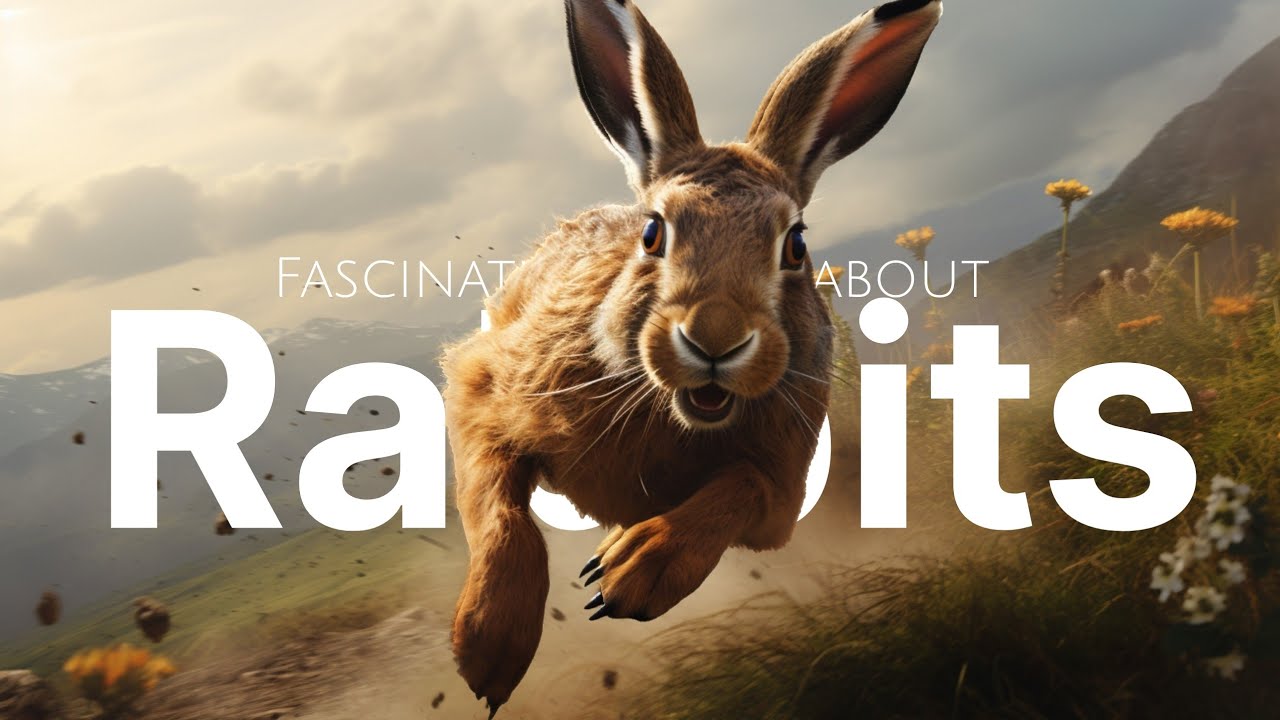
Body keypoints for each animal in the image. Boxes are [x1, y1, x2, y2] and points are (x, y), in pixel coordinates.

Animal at [442, 0, 942, 713]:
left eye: (794, 244)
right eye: (653, 233)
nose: (716, 338)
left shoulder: (783, 481)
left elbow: (740, 487)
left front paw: (633, 570)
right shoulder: (481, 394)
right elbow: (500, 510)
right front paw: (486, 651)